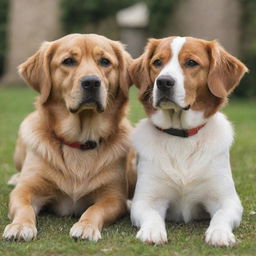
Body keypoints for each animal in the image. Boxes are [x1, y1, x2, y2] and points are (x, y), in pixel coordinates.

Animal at [3, 33, 134, 242]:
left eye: (105, 61)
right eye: (69, 61)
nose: (91, 82)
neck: (79, 142)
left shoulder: (113, 196)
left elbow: (95, 209)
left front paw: (86, 226)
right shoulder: (26, 189)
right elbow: (23, 207)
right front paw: (20, 226)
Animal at [130, 37, 248, 247]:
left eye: (191, 63)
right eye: (157, 62)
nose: (163, 82)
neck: (181, 136)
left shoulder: (228, 200)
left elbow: (221, 216)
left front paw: (219, 233)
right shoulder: (145, 200)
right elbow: (152, 216)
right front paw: (152, 231)